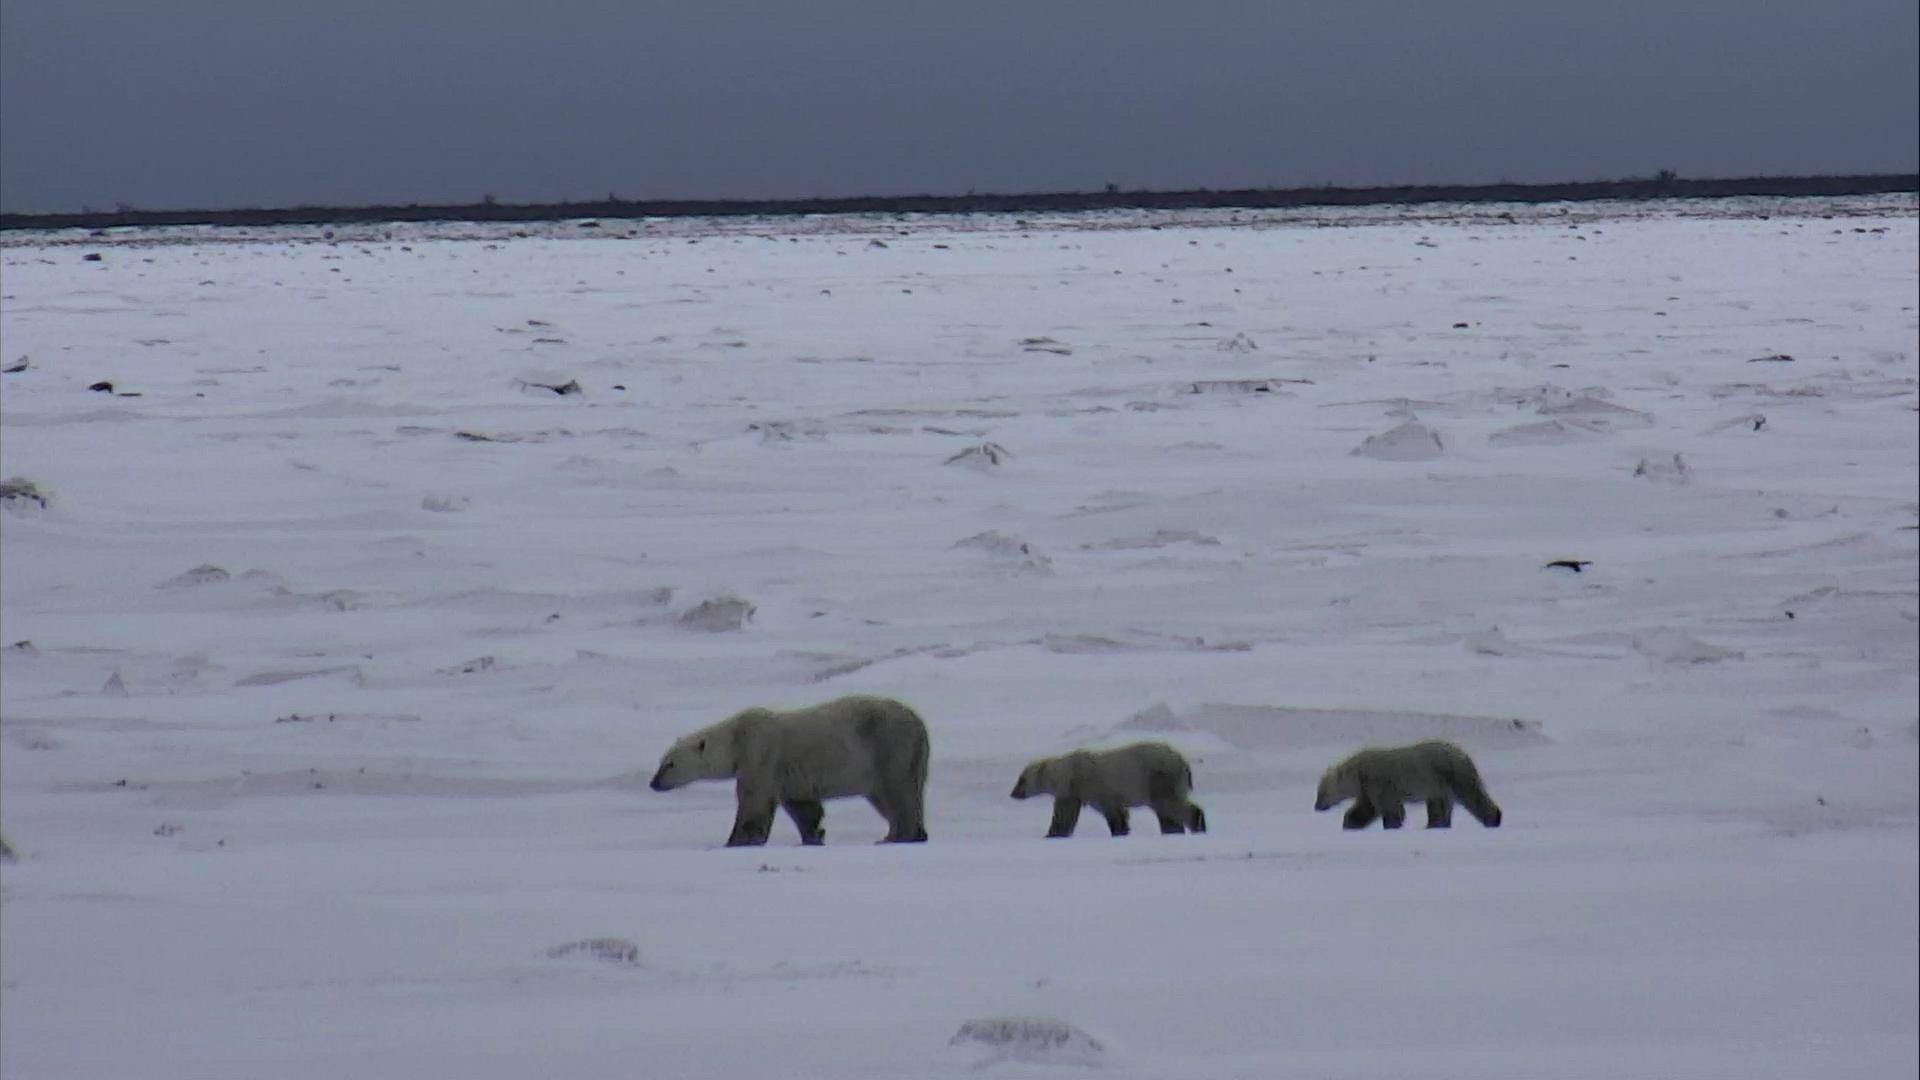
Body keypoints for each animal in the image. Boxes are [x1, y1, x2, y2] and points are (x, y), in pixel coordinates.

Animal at [648, 691, 933, 845]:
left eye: (669, 764)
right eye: (661, 761)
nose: (653, 783)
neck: (736, 738)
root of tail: (919, 724)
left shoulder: (760, 755)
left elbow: (753, 801)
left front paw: (736, 840)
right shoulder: (790, 775)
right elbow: (802, 806)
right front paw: (814, 834)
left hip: (889, 746)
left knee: (896, 792)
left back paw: (896, 835)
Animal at [1013, 734, 1205, 837]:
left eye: (1021, 779)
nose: (1013, 793)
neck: (1069, 771)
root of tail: (1184, 763)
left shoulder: (1092, 786)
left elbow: (1066, 813)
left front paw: (1052, 834)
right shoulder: (1081, 791)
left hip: (1159, 777)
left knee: (1170, 804)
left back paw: (1196, 824)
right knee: (1165, 811)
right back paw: (1173, 831)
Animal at [1313, 734, 1505, 826]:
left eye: (1321, 792)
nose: (1316, 806)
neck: (1357, 770)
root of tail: (1465, 755)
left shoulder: (1378, 781)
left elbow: (1389, 808)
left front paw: (1391, 823)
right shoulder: (1366, 787)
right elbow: (1365, 809)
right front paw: (1349, 823)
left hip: (1451, 774)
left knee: (1472, 796)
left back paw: (1494, 818)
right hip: (1439, 784)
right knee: (1439, 806)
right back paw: (1434, 825)